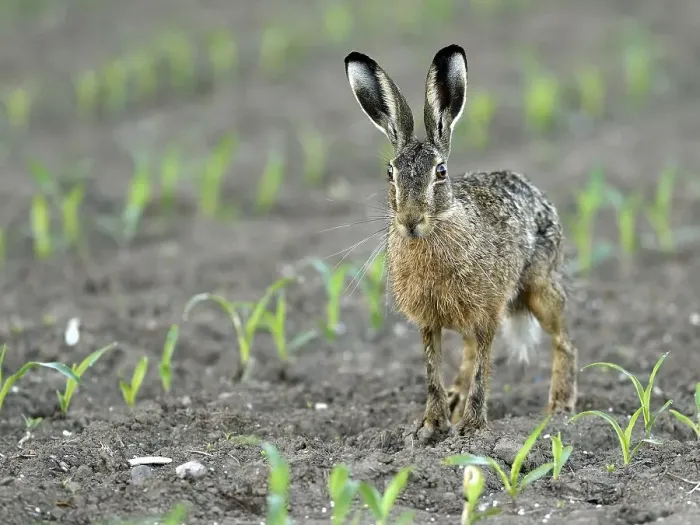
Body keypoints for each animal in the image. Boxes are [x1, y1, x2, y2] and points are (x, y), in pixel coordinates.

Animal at [343, 44, 577, 442]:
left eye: (440, 172)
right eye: (390, 173)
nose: (410, 221)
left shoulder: (488, 312)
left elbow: (484, 369)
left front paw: (472, 429)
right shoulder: (428, 322)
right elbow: (432, 372)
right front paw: (432, 427)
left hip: (539, 288)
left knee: (563, 340)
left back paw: (559, 408)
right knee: (468, 354)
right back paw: (455, 400)